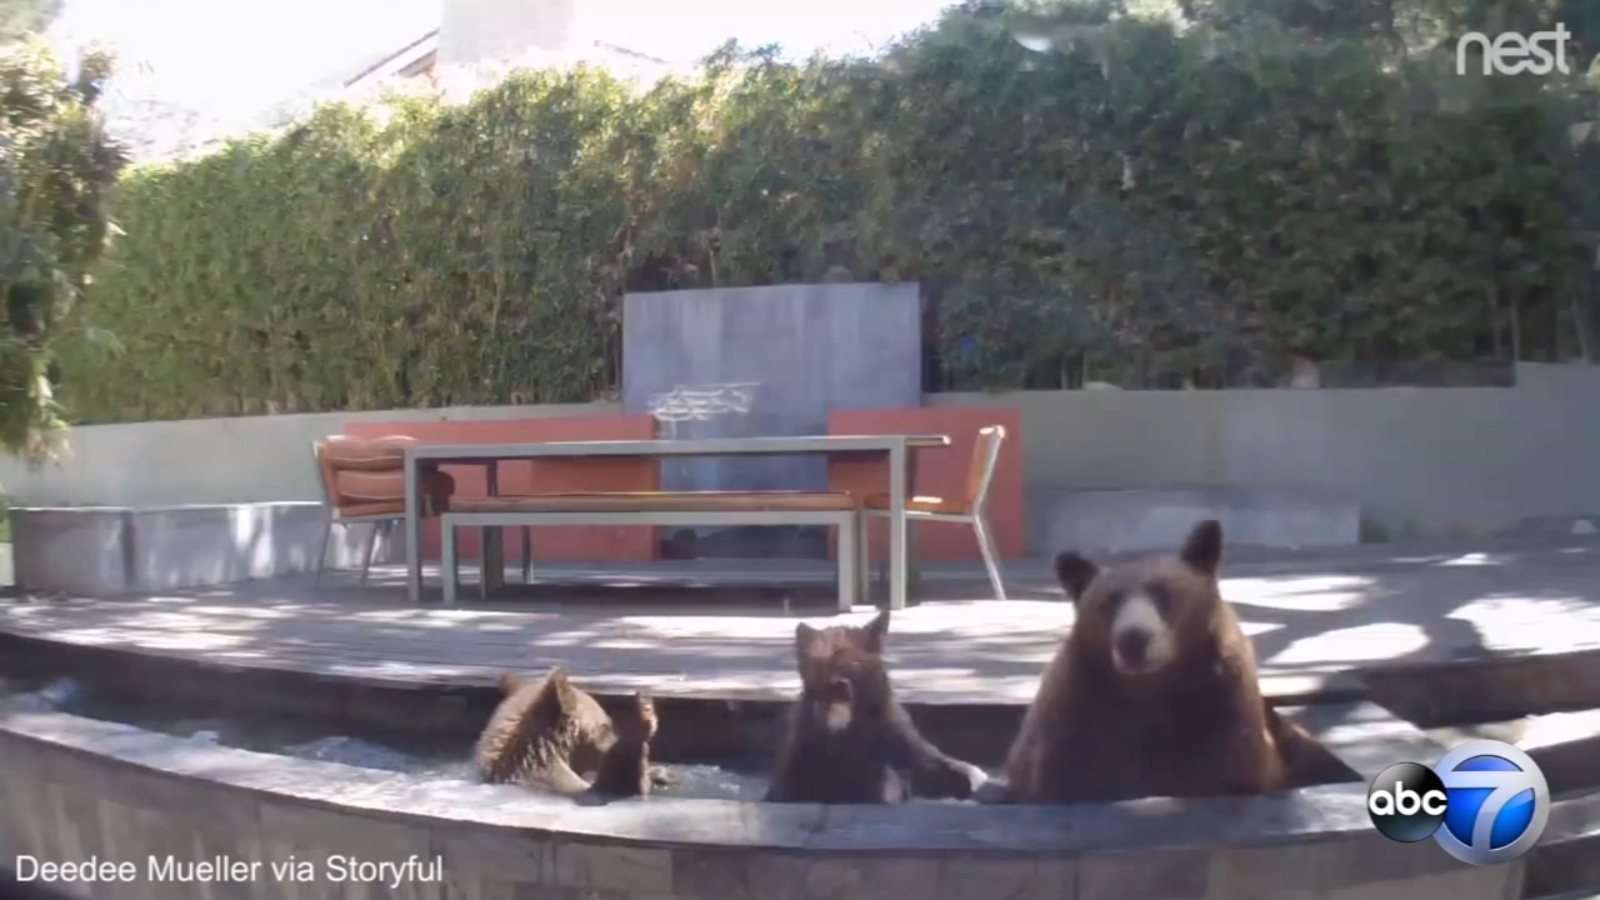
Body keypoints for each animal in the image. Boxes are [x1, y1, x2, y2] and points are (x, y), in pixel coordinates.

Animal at [763, 609, 989, 804]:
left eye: (855, 662)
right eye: (820, 661)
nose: (836, 686)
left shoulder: (901, 744)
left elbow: (940, 764)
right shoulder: (798, 753)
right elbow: (782, 786)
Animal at [999, 519, 1287, 804]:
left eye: (1162, 593)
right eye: (1108, 602)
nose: (1133, 639)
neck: (1149, 691)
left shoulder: (1220, 706)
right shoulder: (1075, 720)